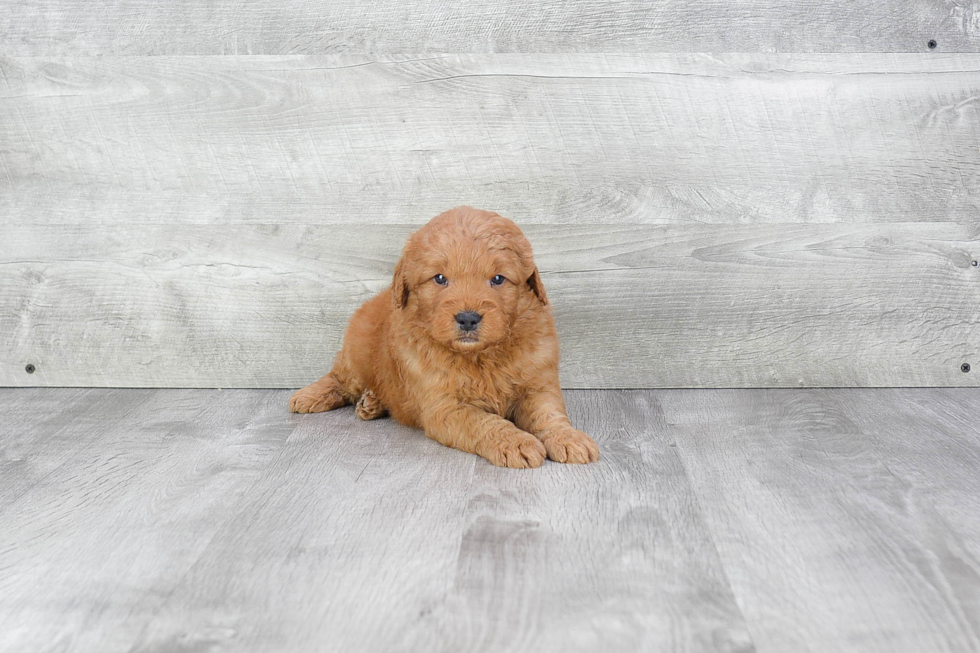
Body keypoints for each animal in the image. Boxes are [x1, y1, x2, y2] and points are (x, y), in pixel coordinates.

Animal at [288, 206, 600, 466]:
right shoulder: (446, 408)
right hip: (355, 352)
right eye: (440, 278)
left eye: (498, 279)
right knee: (339, 379)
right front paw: (516, 443)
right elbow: (485, 423)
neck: (480, 356)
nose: (468, 318)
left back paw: (372, 402)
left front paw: (568, 438)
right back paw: (307, 396)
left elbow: (548, 414)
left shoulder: (537, 384)